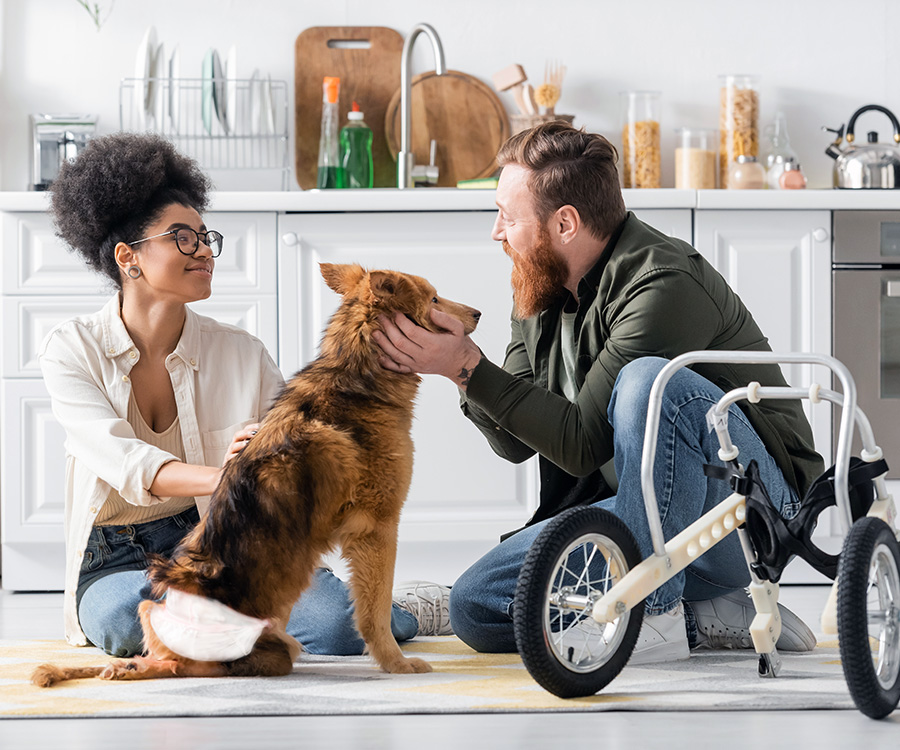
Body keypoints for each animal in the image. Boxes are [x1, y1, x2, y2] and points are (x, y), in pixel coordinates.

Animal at [32, 262, 482, 688]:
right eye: (435, 298)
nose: (478, 312)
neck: (353, 373)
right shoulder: (377, 528)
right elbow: (375, 612)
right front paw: (398, 665)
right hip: (275, 647)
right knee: (187, 668)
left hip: (152, 605)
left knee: (159, 660)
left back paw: (122, 669)